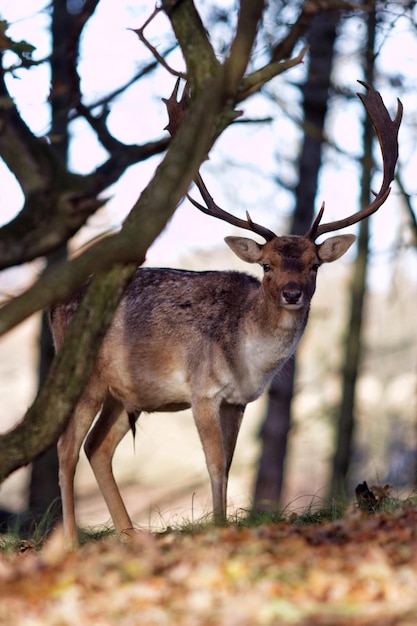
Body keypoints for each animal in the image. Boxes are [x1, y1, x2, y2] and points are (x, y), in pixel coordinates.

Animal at [48, 83, 400, 540]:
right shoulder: (202, 389)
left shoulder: (239, 401)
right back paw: (73, 541)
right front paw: (216, 529)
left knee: (97, 447)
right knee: (66, 447)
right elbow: (214, 465)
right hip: (85, 375)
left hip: (128, 395)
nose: (292, 293)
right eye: (266, 264)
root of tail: (54, 304)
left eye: (314, 265)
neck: (249, 361)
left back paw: (129, 535)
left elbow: (230, 465)